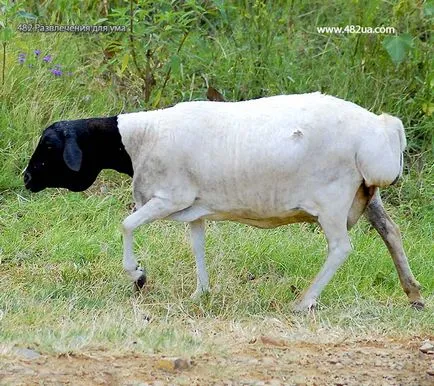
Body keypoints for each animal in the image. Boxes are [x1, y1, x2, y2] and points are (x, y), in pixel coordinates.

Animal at [24, 92, 424, 310]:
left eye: (48, 147)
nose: (26, 178)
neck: (139, 140)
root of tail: (383, 129)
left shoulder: (170, 197)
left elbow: (127, 224)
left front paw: (138, 276)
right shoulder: (195, 207)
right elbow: (197, 245)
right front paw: (199, 294)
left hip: (333, 198)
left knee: (341, 248)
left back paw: (304, 302)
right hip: (367, 194)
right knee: (391, 233)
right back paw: (414, 293)